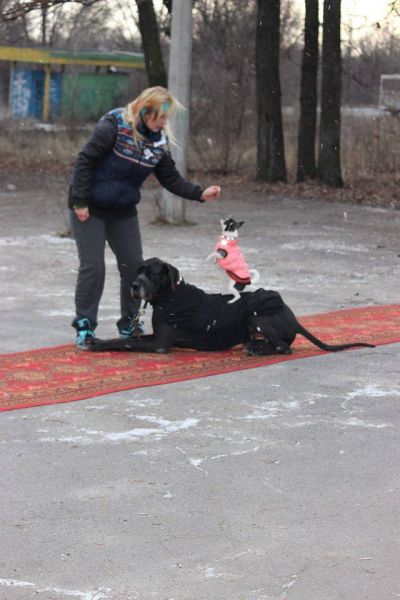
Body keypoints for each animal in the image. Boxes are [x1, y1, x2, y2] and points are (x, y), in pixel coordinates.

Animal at [90, 258, 376, 356]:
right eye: (139, 270)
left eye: (152, 273)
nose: (134, 285)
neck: (170, 296)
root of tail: (292, 316)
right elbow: (127, 339)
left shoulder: (160, 343)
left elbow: (127, 343)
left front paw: (97, 344)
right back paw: (255, 346)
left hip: (256, 312)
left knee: (283, 348)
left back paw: (256, 350)